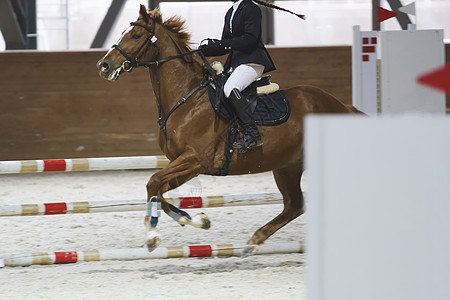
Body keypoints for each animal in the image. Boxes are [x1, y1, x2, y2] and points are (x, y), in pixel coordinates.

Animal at [98, 4, 358, 253]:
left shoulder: (195, 159)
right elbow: (158, 190)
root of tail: (343, 106)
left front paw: (153, 235)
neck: (186, 98)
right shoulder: (187, 165)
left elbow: (153, 182)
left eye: (135, 35)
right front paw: (195, 220)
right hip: (288, 166)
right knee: (294, 205)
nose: (103, 65)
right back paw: (254, 241)